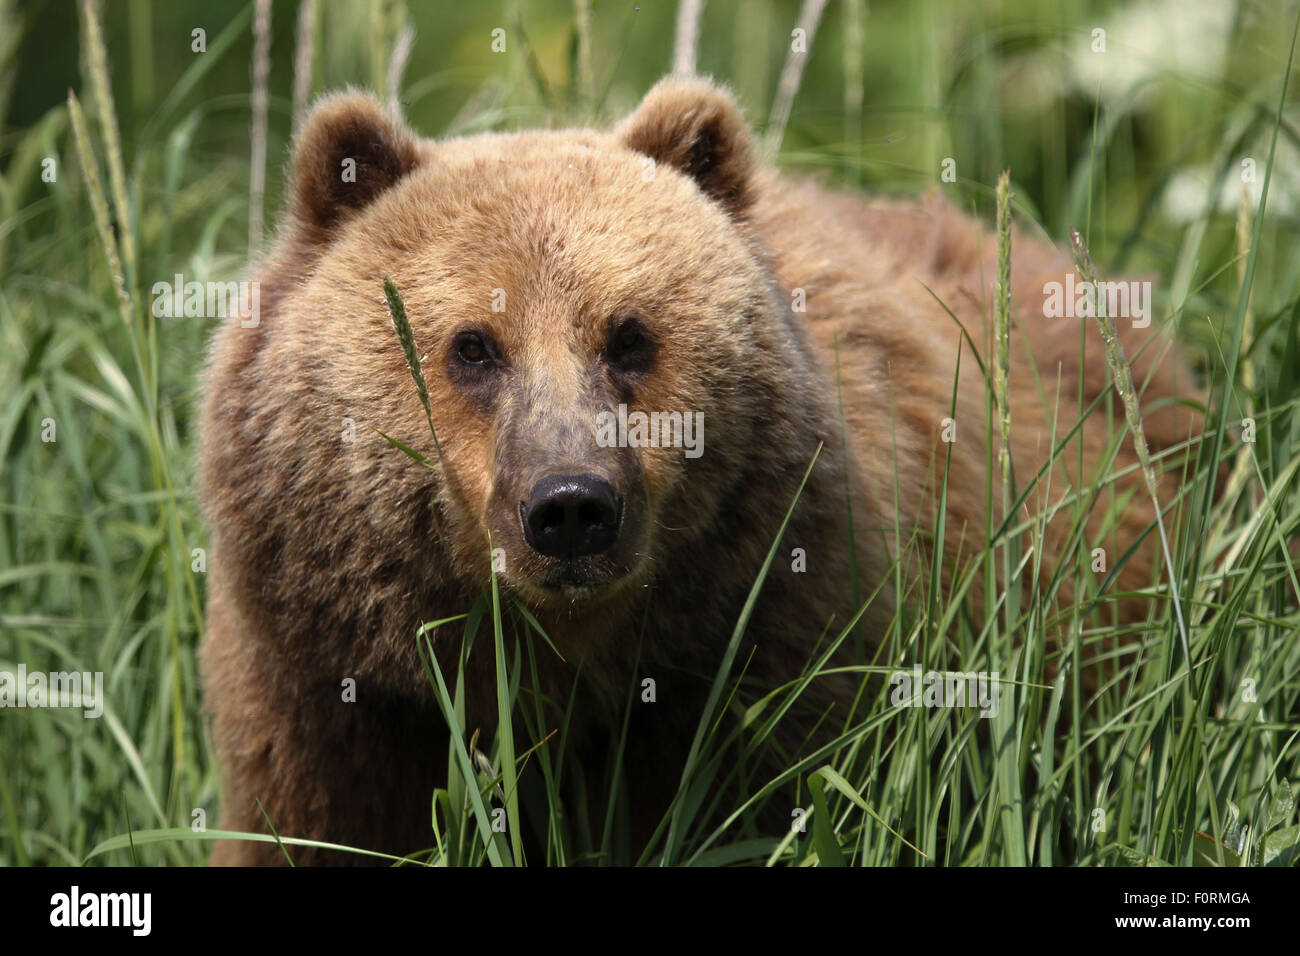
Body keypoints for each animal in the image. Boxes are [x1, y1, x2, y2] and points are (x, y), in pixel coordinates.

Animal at [197, 78, 1201, 863]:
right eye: (472, 345)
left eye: (629, 335)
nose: (571, 506)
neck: (566, 662)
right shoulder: (338, 700)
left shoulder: (762, 649)